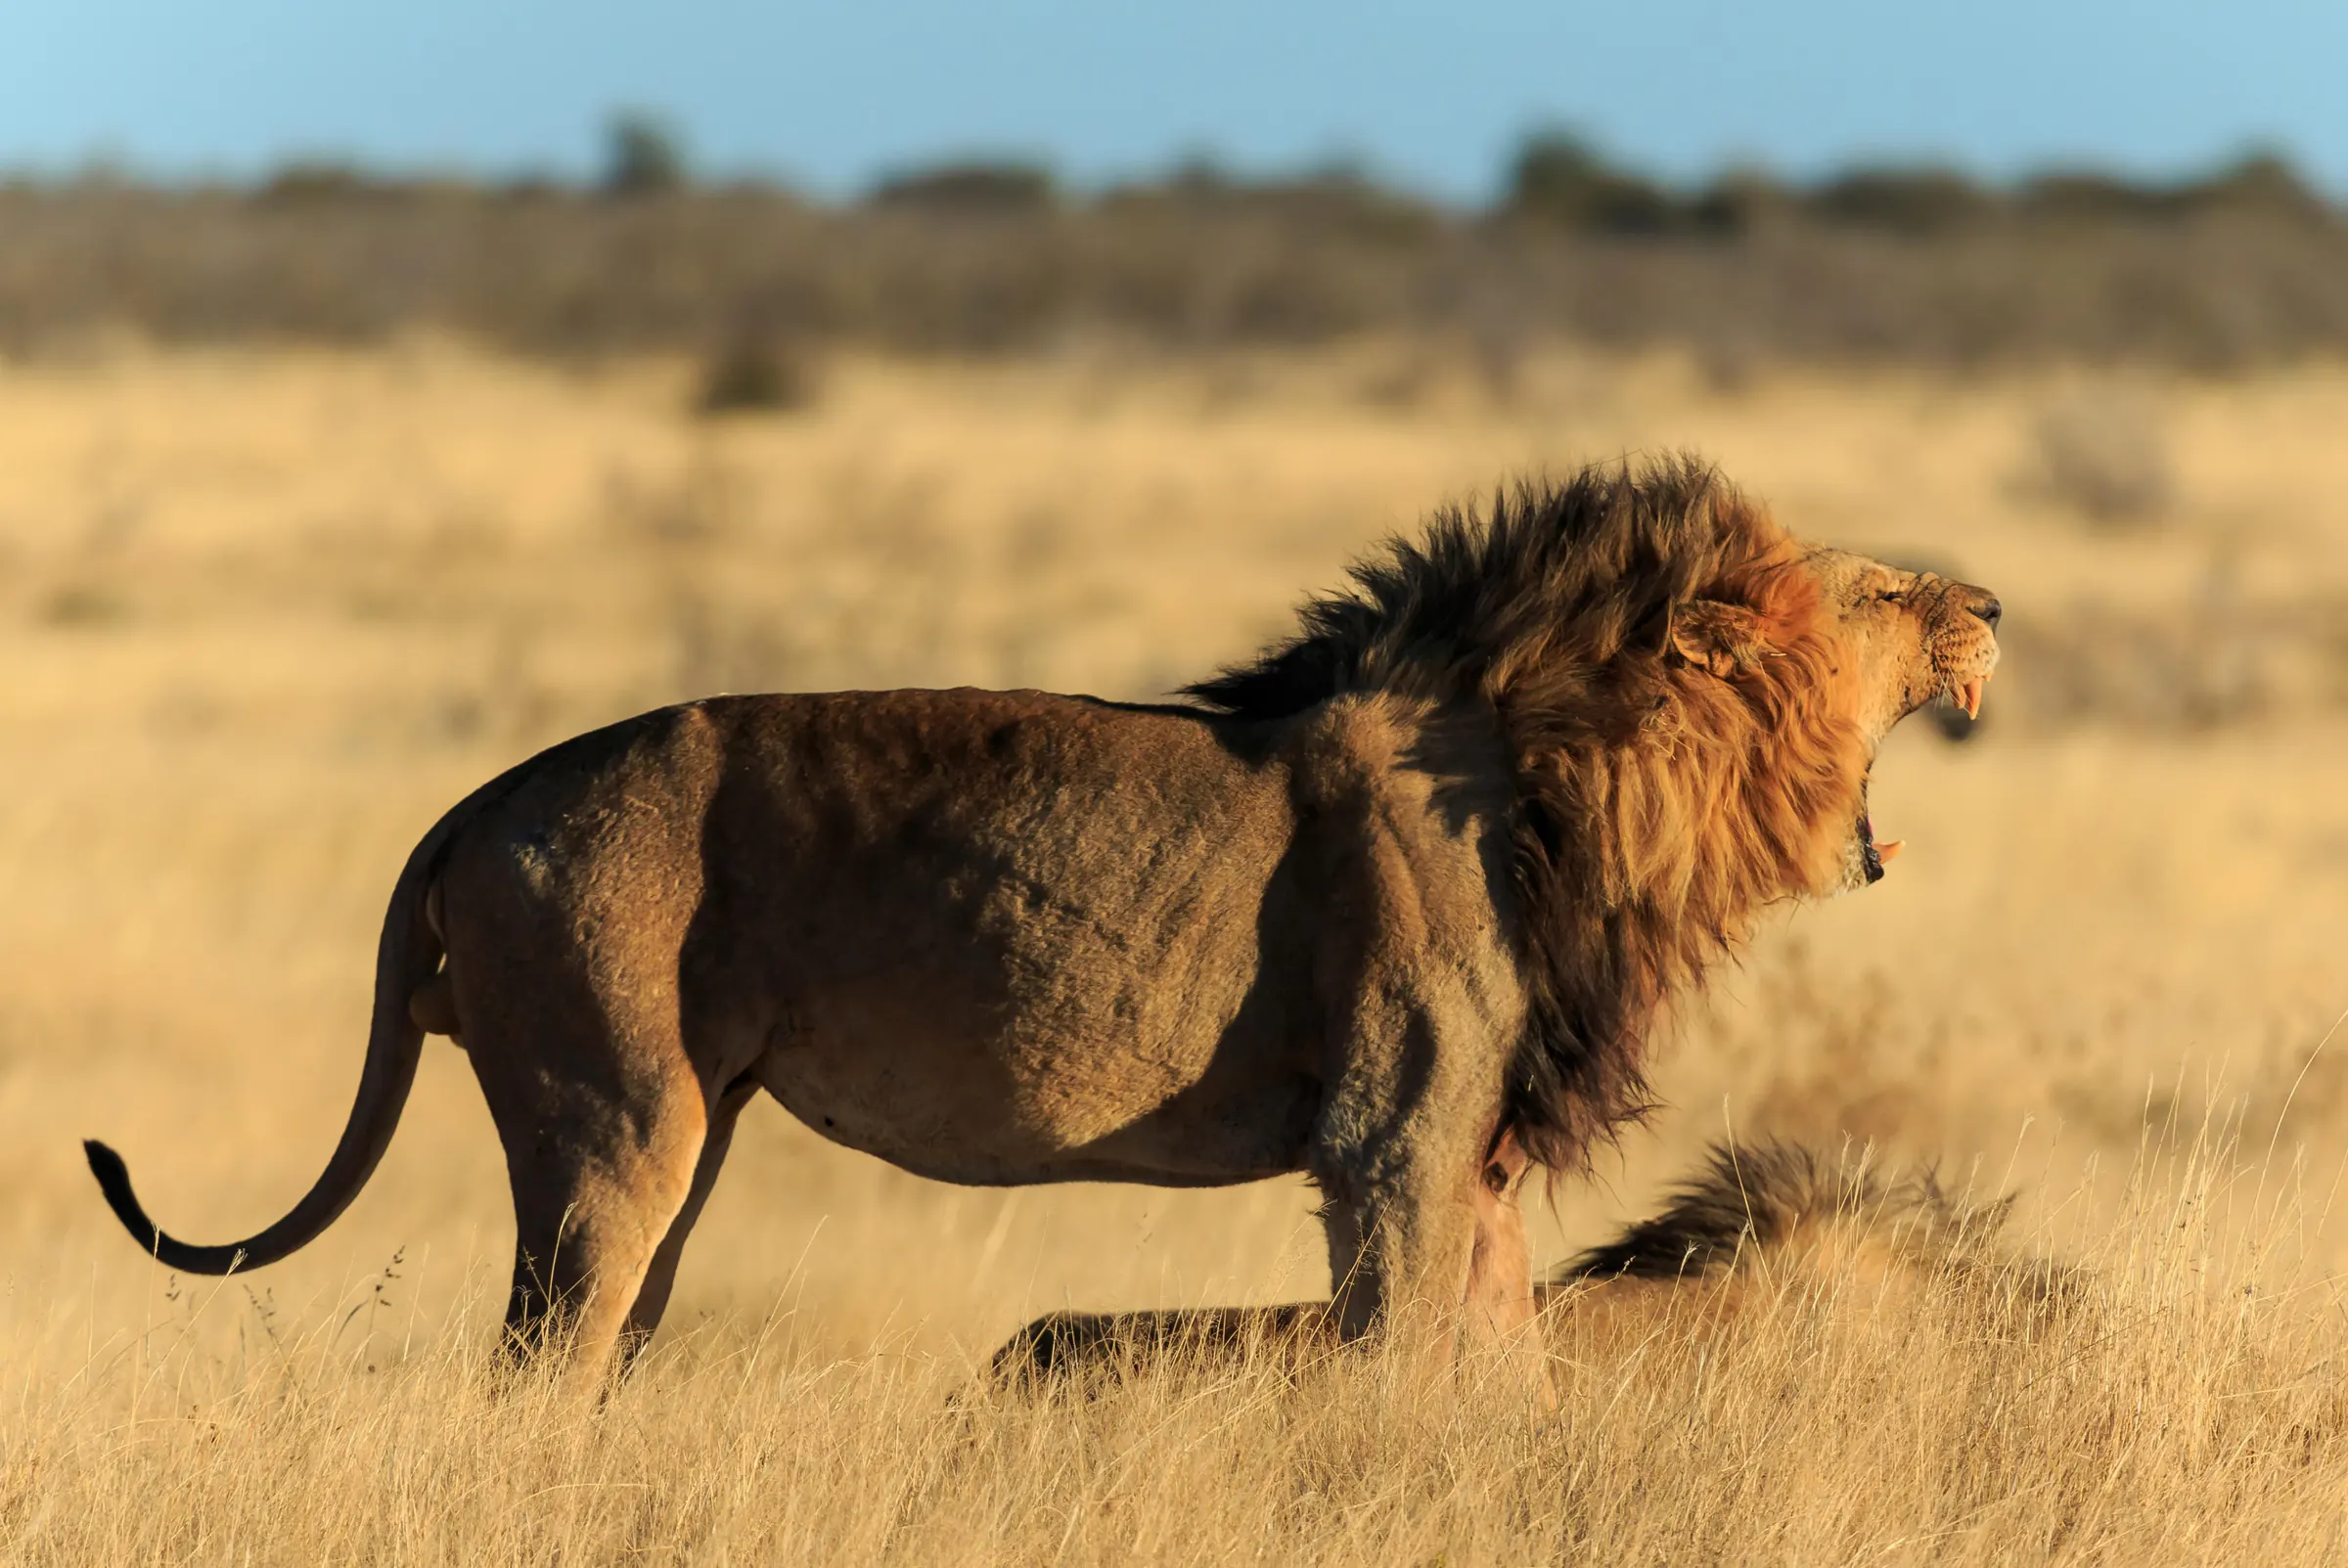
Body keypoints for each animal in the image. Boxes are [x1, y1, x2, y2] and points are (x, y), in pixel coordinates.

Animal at [82, 456, 2000, 1390]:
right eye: (1880, 591)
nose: (1989, 596)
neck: (1572, 774)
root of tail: (478, 801)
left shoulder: (1479, 1154)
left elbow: (1507, 1370)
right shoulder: (1393, 1134)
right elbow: (1401, 1366)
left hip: (682, 1133)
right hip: (607, 1119)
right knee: (534, 1367)